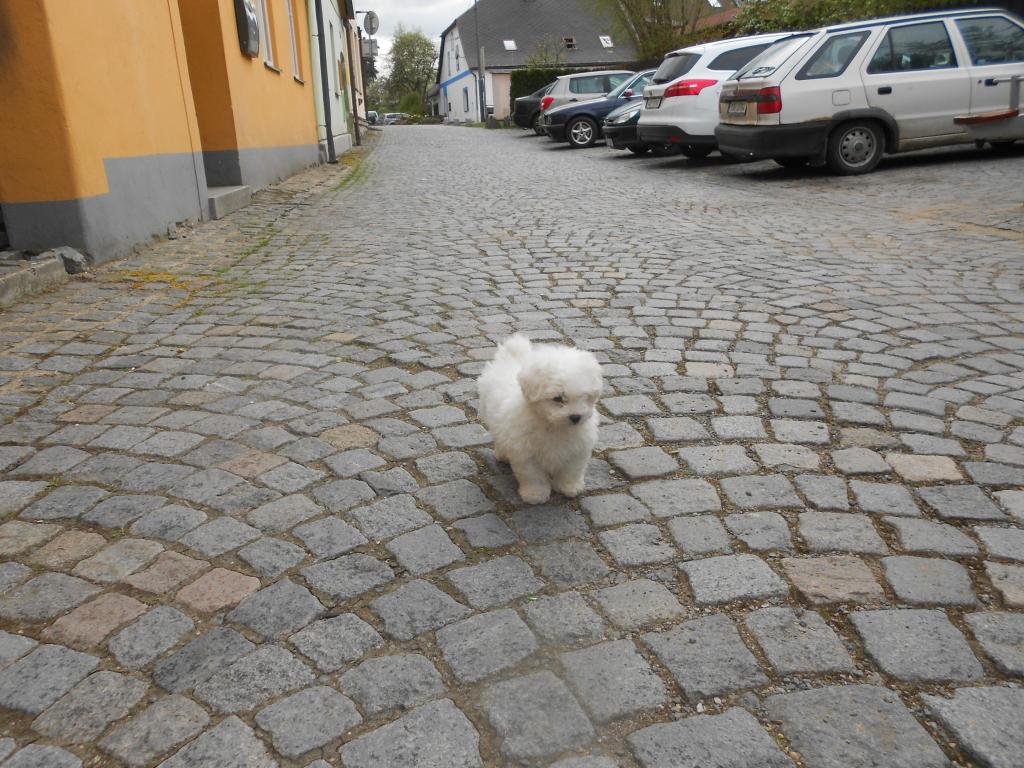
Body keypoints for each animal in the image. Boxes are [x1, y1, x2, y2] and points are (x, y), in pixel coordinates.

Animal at [477, 334, 603, 504]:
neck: (554, 426)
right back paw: (503, 454)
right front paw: (535, 495)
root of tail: (512, 357)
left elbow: (572, 471)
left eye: (584, 396)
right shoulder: (526, 453)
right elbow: (533, 476)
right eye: (558, 398)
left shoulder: (578, 449)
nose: (576, 417)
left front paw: (570, 488)